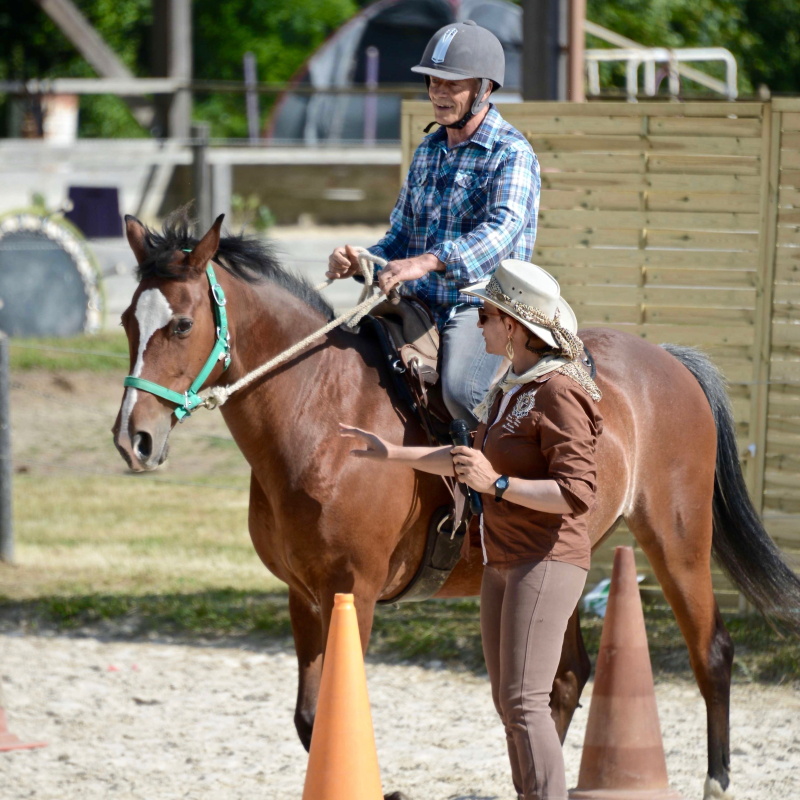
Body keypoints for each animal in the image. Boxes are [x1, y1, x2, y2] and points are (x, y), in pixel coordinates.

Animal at [114, 212, 800, 800]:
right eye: (126, 321)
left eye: (180, 325)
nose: (133, 439)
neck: (321, 415)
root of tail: (669, 362)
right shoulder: (302, 596)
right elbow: (311, 719)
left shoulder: (353, 591)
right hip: (568, 560)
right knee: (563, 678)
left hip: (677, 539)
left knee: (711, 652)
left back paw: (717, 780)